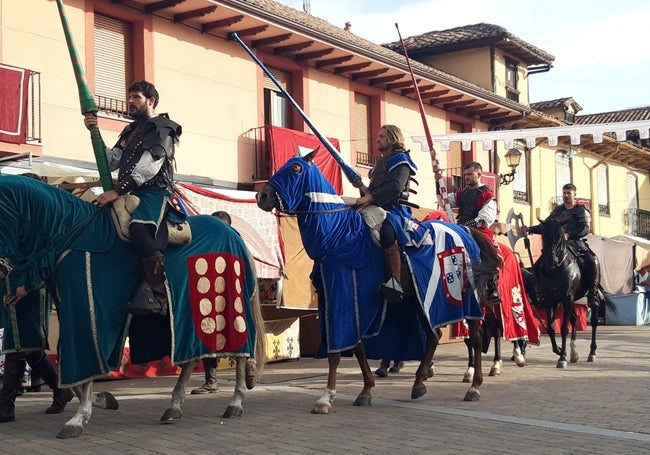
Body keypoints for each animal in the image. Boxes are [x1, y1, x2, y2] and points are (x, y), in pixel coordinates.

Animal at [0, 175, 264, 438]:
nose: (5, 273)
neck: (73, 235)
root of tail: (232, 232)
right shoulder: (72, 309)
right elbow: (68, 360)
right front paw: (101, 400)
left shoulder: (86, 307)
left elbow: (85, 356)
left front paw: (79, 417)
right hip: (188, 314)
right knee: (190, 357)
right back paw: (174, 407)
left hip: (228, 304)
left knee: (241, 350)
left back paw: (235, 403)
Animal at [254, 150, 502, 414]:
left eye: (296, 169)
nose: (262, 196)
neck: (339, 235)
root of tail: (465, 230)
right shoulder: (338, 303)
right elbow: (358, 348)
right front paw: (365, 390)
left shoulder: (345, 299)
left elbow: (338, 350)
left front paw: (326, 397)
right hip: (419, 300)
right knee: (434, 335)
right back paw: (419, 382)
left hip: (467, 299)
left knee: (476, 336)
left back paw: (474, 386)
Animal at [524, 219, 612, 368]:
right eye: (544, 236)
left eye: (560, 237)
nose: (551, 260)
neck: (555, 271)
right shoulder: (551, 301)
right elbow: (551, 328)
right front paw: (559, 350)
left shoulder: (566, 299)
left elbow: (564, 328)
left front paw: (562, 357)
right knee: (575, 320)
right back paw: (574, 353)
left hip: (588, 296)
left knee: (594, 321)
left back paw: (591, 353)